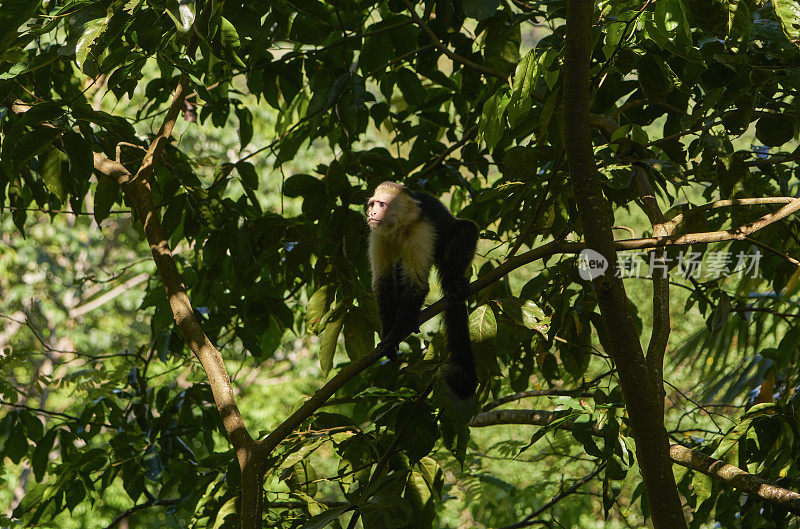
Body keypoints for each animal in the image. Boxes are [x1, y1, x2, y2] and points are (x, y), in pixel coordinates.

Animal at [366, 180, 478, 396]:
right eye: (373, 204)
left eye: (383, 205)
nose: (372, 213)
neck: (399, 228)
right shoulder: (378, 235)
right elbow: (383, 283)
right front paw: (387, 332)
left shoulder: (421, 231)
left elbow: (416, 285)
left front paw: (393, 337)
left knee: (466, 229)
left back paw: (454, 283)